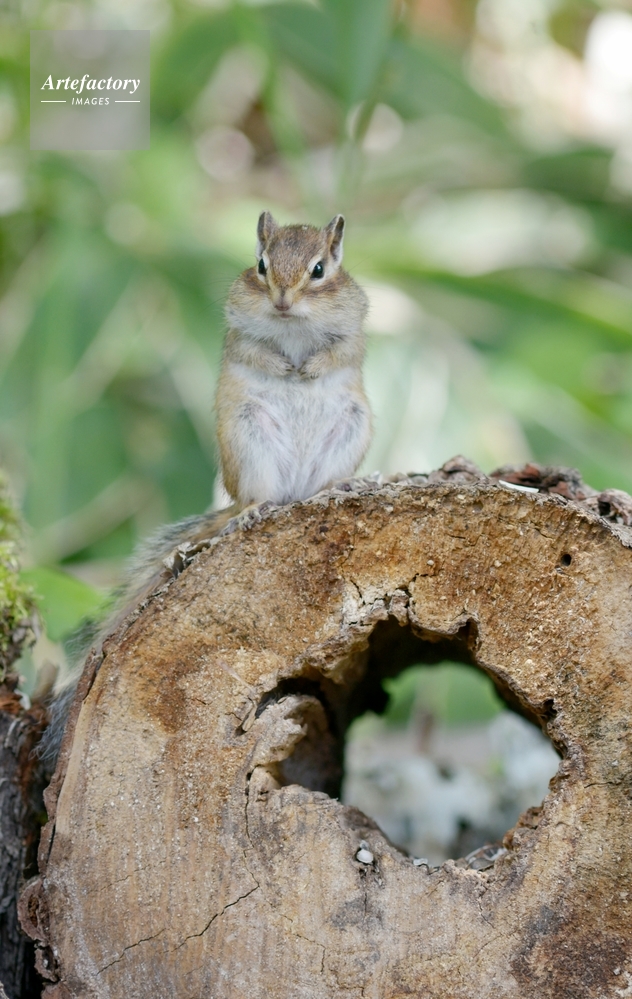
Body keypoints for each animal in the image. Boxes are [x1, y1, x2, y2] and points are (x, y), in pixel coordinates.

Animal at [38, 212, 373, 768]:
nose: (282, 300)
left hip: (351, 428)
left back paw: (340, 484)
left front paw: (308, 367)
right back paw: (253, 510)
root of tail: (292, 493)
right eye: (260, 266)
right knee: (259, 497)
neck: (293, 327)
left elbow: (339, 351)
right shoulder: (238, 330)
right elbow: (254, 349)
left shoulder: (354, 328)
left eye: (320, 270)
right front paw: (284, 366)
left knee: (323, 481)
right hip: (248, 439)